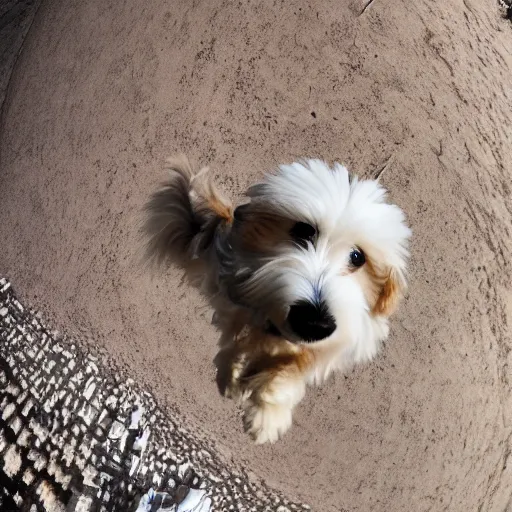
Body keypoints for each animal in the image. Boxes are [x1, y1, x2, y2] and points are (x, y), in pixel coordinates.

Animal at [141, 155, 412, 444]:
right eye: (304, 230)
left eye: (358, 257)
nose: (313, 322)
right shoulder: (240, 298)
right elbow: (241, 341)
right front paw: (235, 378)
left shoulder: (335, 343)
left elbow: (291, 371)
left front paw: (268, 415)